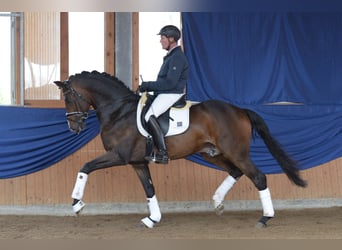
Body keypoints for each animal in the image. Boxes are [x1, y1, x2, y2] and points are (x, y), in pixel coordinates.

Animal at [54, 70, 308, 229]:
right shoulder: (138, 162)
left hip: (237, 152)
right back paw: (217, 202)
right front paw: (152, 219)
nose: (73, 127)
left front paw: (77, 204)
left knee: (258, 177)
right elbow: (149, 189)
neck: (119, 111)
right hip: (211, 153)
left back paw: (265, 218)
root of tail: (239, 110)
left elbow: (85, 166)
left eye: (67, 98)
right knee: (235, 172)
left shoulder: (119, 155)